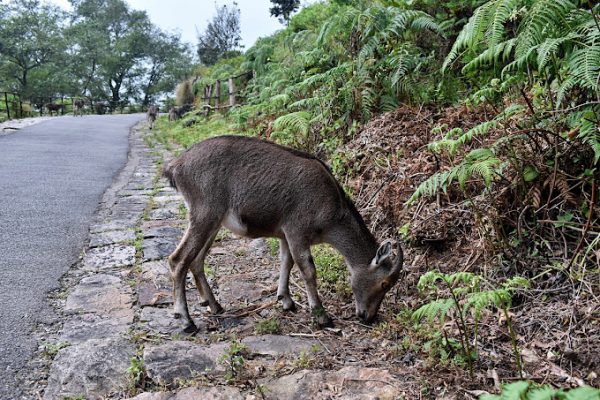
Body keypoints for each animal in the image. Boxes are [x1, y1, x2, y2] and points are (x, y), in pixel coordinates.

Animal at [163, 136, 404, 332]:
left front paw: (286, 301)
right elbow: (307, 269)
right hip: (205, 213)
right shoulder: (297, 230)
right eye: (384, 284)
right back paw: (186, 321)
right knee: (178, 259)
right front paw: (322, 317)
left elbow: (286, 262)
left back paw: (214, 305)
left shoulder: (285, 234)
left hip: (213, 222)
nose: (368, 317)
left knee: (196, 260)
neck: (331, 212)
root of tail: (176, 166)